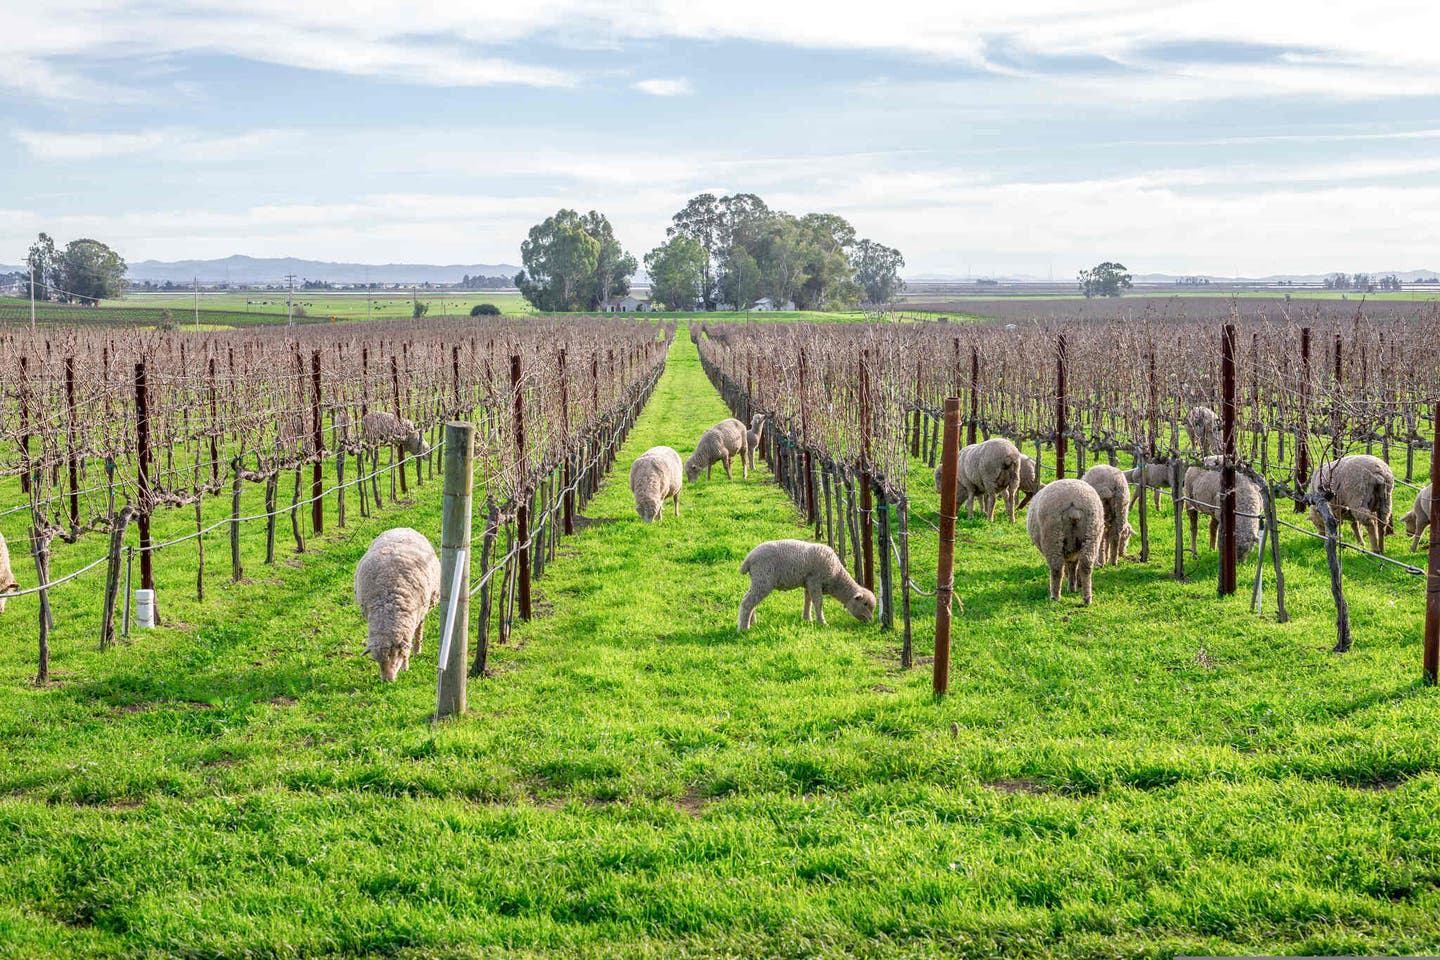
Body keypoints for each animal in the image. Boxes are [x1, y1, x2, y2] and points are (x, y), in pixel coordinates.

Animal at [352, 526, 437, 682]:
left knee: (420, 628)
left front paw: (405, 666)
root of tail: (403, 527)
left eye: (396, 656)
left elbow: (408, 647)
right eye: (377, 661)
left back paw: (417, 650)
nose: (387, 680)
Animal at [743, 541, 875, 630]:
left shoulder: (808, 583)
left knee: (750, 600)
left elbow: (808, 600)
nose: (870, 621)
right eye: (865, 604)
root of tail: (748, 559)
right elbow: (818, 602)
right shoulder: (815, 581)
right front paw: (822, 622)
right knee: (747, 602)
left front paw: (807, 619)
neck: (837, 576)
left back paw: (752, 622)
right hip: (764, 579)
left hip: (758, 579)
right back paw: (744, 628)